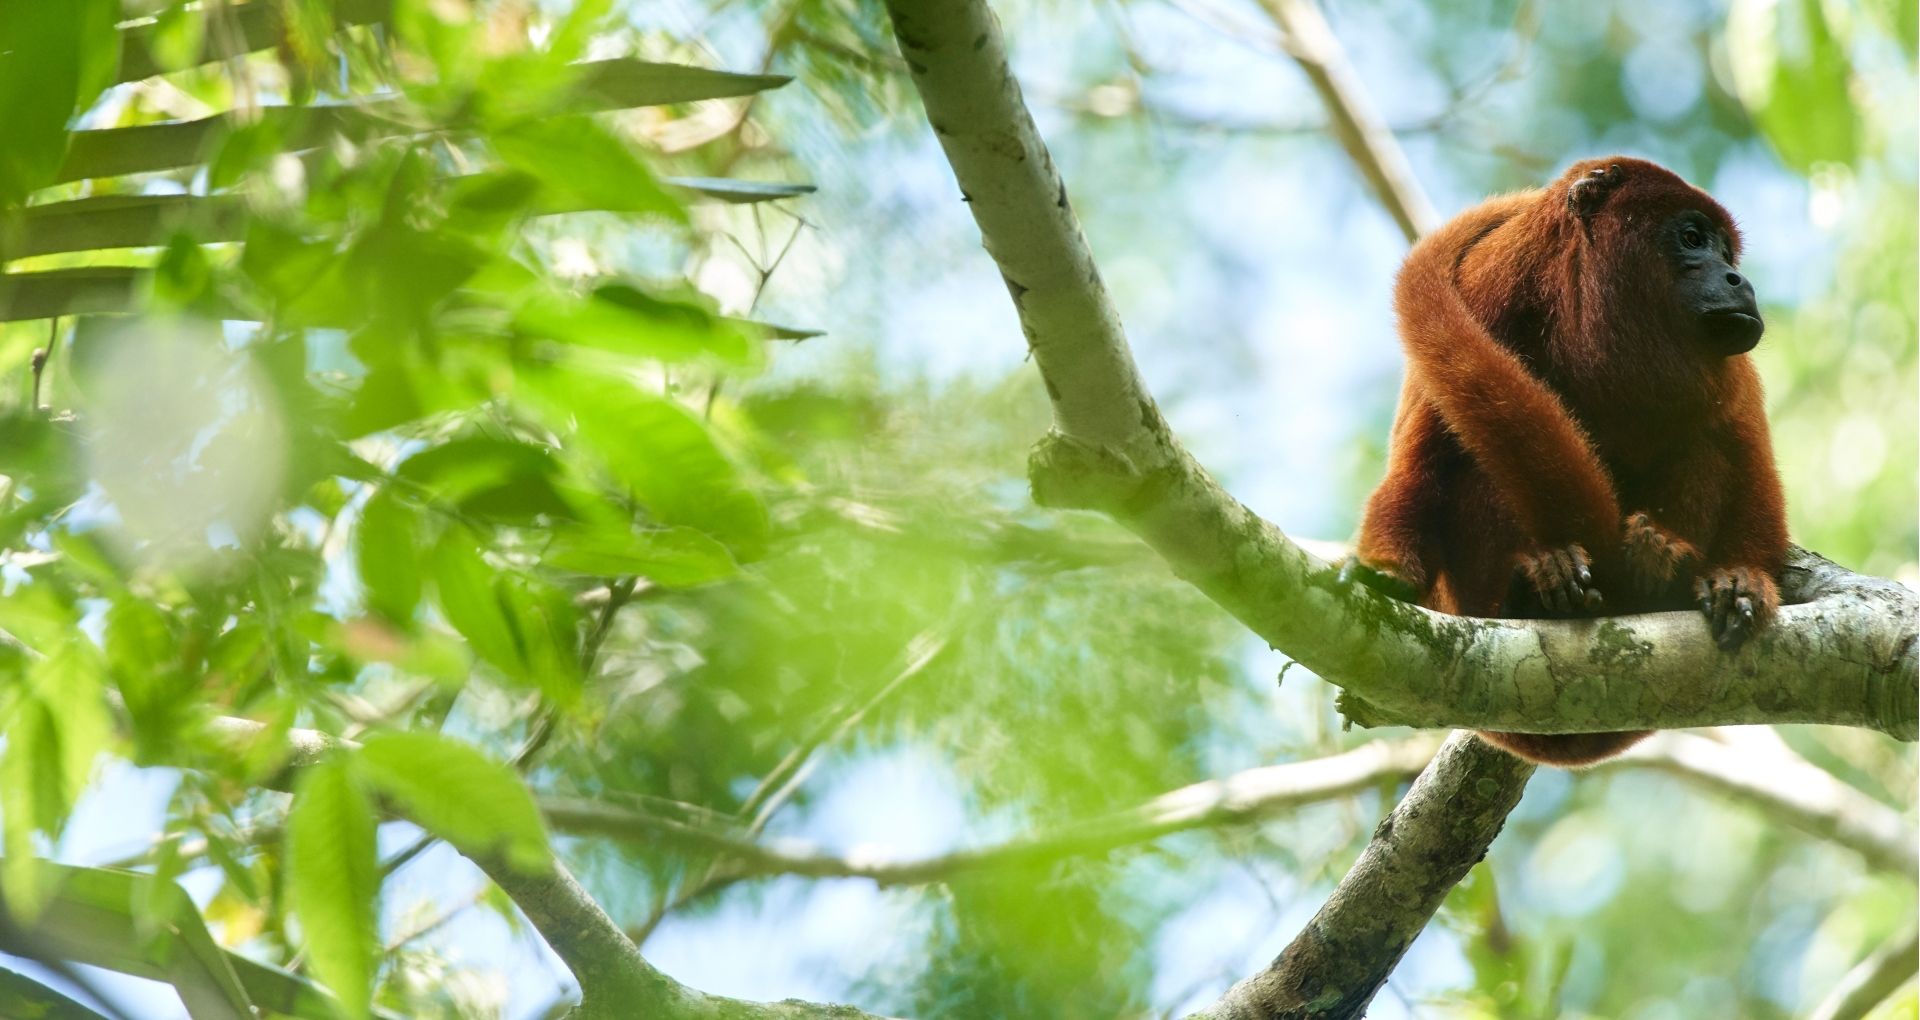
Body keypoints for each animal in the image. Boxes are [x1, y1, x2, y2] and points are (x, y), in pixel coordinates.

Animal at [1344, 157, 1788, 766]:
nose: (1738, 281)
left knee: (1707, 452)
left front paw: (1740, 580)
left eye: (1728, 252)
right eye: (1693, 239)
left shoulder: (1735, 375)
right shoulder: (1490, 288)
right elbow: (1416, 472)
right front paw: (1386, 577)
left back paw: (1657, 556)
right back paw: (1539, 583)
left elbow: (1757, 490)